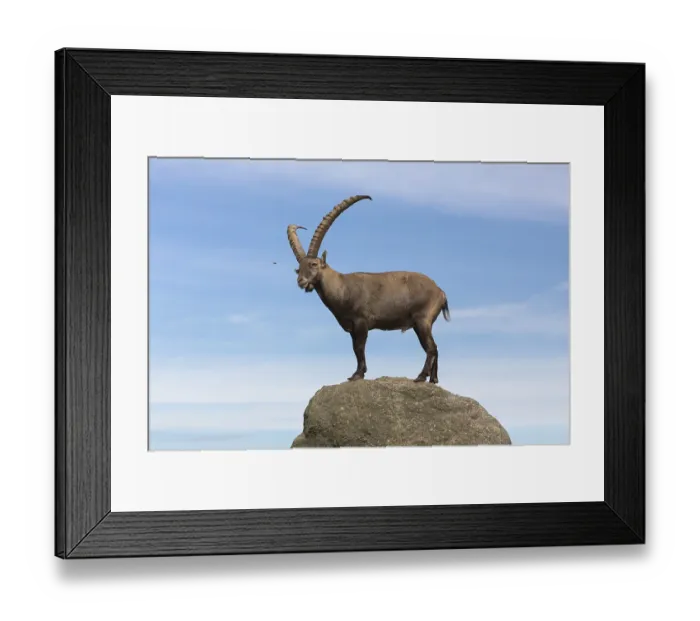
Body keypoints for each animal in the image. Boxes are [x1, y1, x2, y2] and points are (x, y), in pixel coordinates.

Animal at [287, 195, 450, 384]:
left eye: (313, 264)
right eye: (298, 269)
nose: (301, 281)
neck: (342, 286)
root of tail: (441, 292)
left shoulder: (361, 322)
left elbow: (359, 347)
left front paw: (358, 374)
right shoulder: (351, 327)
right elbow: (355, 349)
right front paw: (357, 373)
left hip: (422, 320)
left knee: (431, 348)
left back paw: (421, 377)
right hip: (421, 324)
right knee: (435, 348)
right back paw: (433, 379)